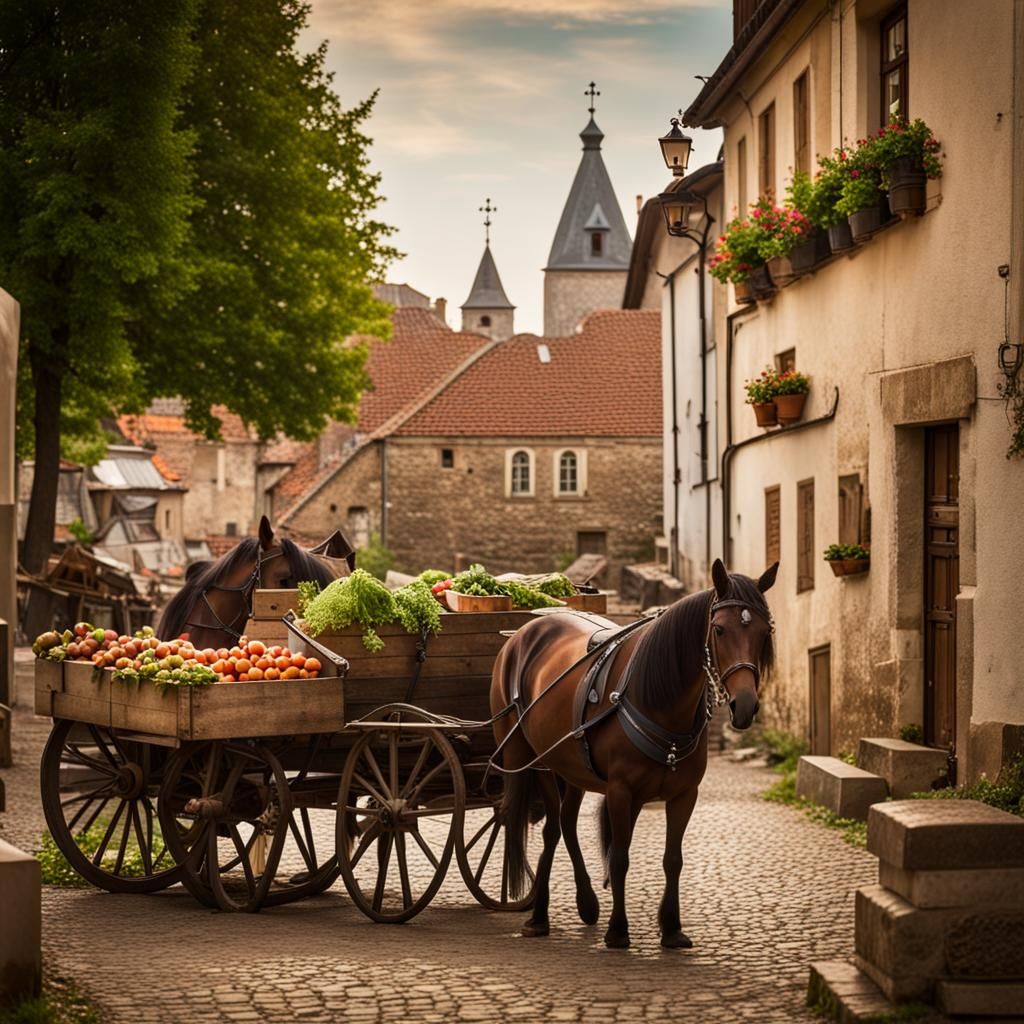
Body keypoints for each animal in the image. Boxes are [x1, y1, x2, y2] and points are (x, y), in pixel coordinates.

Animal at [487, 561, 774, 950]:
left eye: (764, 631)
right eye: (719, 629)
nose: (743, 706)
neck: (657, 699)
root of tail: (522, 634)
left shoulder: (684, 795)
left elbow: (672, 859)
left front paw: (671, 927)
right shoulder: (621, 792)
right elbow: (620, 857)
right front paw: (618, 929)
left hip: (572, 767)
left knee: (566, 824)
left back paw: (586, 903)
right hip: (533, 760)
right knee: (549, 830)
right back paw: (539, 915)